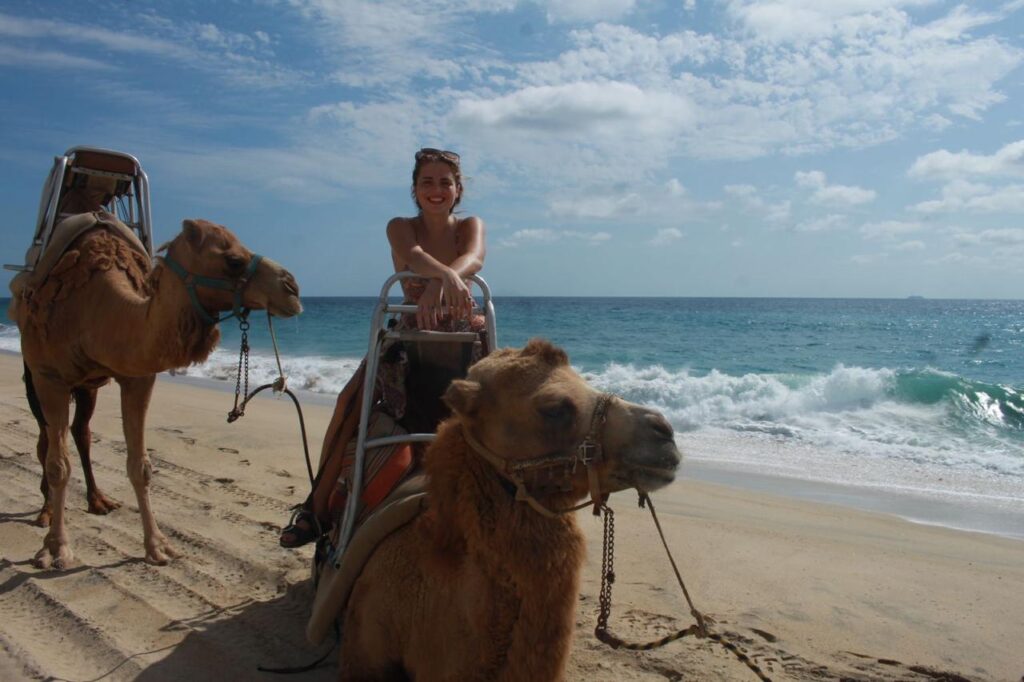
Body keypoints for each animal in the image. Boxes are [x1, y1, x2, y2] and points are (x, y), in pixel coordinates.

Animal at [11, 216, 302, 569]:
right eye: (233, 260)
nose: (292, 288)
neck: (94, 309)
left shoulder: (138, 376)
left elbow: (141, 466)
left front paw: (158, 547)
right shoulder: (49, 377)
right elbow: (58, 466)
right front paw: (55, 549)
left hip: (88, 387)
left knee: (81, 431)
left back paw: (98, 501)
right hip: (33, 375)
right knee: (45, 441)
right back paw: (46, 512)